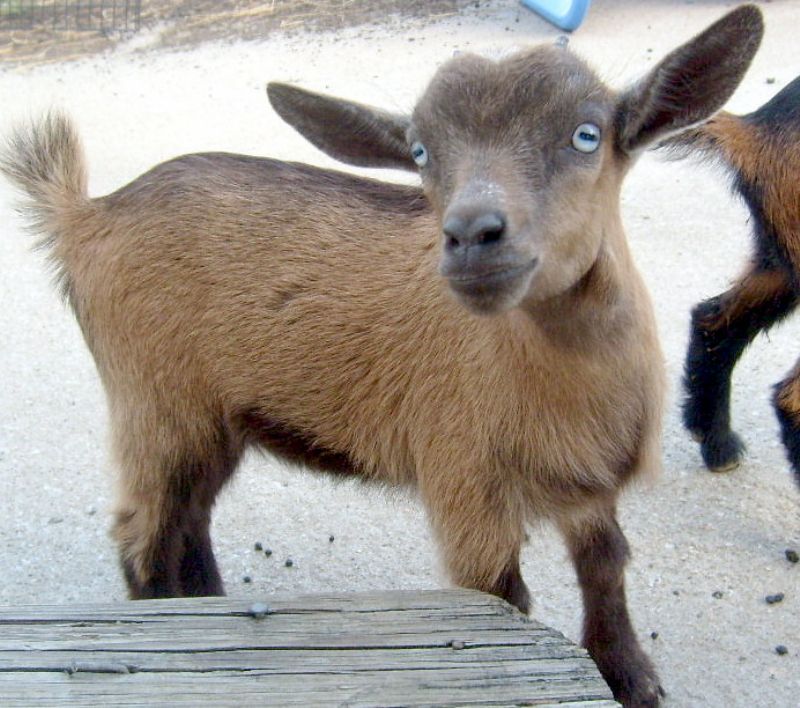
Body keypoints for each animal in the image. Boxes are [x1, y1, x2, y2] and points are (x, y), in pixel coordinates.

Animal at [0, 6, 763, 706]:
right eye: (421, 153)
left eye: (587, 134)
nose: (470, 235)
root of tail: (84, 218)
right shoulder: (466, 486)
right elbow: (502, 600)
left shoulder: (591, 483)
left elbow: (606, 567)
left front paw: (631, 677)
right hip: (152, 401)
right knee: (142, 535)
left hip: (213, 419)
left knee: (188, 516)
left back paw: (210, 605)